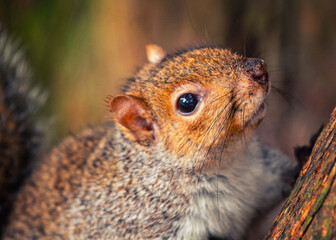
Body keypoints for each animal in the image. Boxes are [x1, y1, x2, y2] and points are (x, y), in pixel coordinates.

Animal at [0, 32, 300, 240]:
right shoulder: (142, 226)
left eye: (208, 49)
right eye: (187, 102)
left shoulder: (263, 173)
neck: (229, 162)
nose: (259, 69)